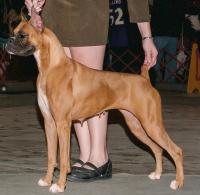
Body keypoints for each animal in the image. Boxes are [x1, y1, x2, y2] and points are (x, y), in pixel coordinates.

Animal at [6, 8, 184, 193]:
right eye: (13, 32)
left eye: (22, 35)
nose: (8, 41)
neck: (51, 67)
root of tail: (144, 79)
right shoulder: (49, 123)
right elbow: (51, 157)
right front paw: (47, 180)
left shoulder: (62, 124)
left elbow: (63, 158)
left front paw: (60, 186)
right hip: (136, 126)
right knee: (158, 148)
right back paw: (157, 174)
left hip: (152, 124)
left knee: (176, 150)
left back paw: (177, 182)